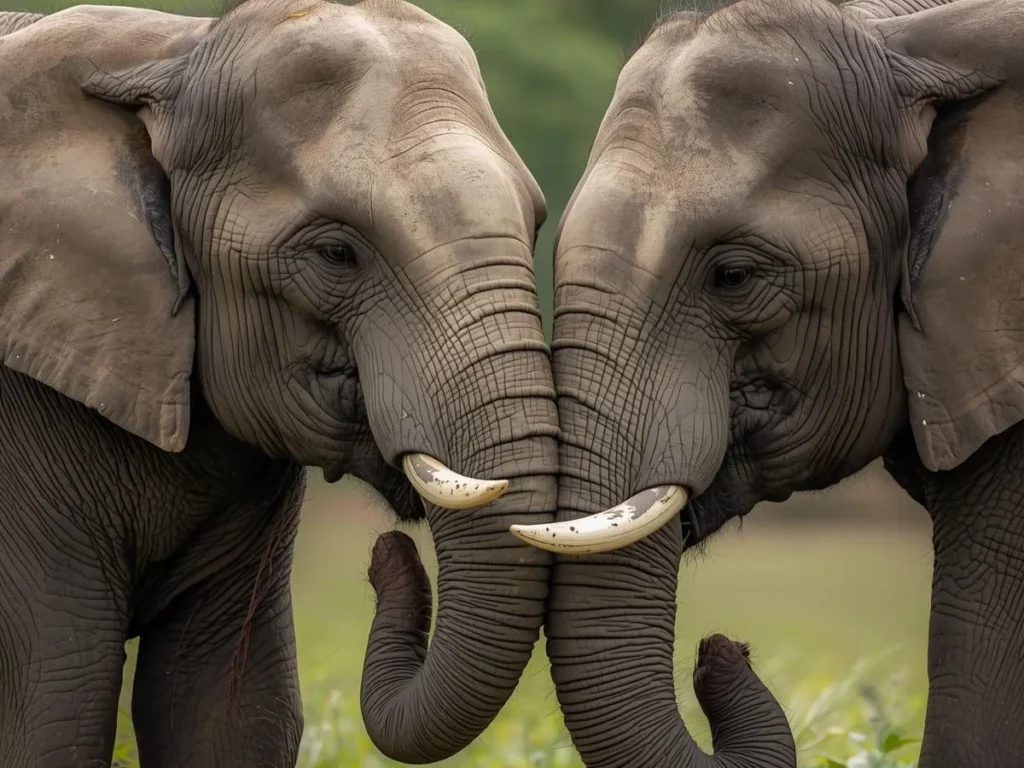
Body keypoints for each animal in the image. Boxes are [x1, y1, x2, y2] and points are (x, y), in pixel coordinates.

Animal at [0, 1, 561, 765]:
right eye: (336, 254)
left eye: (535, 225)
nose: (385, 555)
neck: (176, 50)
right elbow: (58, 701)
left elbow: (229, 712)